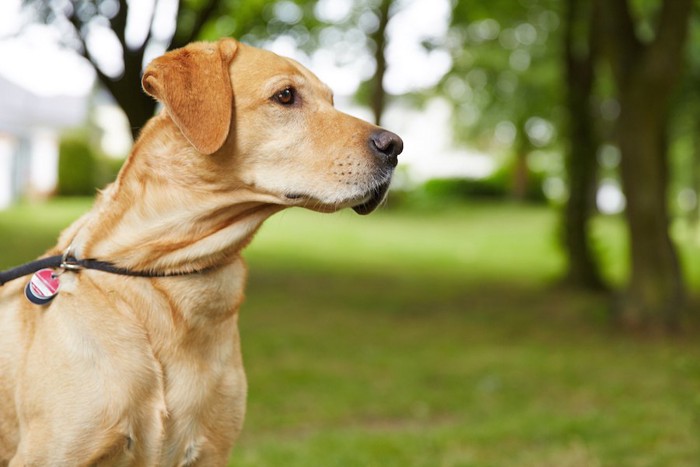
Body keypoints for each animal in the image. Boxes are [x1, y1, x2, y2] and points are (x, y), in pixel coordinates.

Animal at [0, 38, 402, 466]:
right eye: (286, 96)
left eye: (332, 100)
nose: (395, 146)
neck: (166, 277)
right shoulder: (54, 452)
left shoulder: (212, 449)